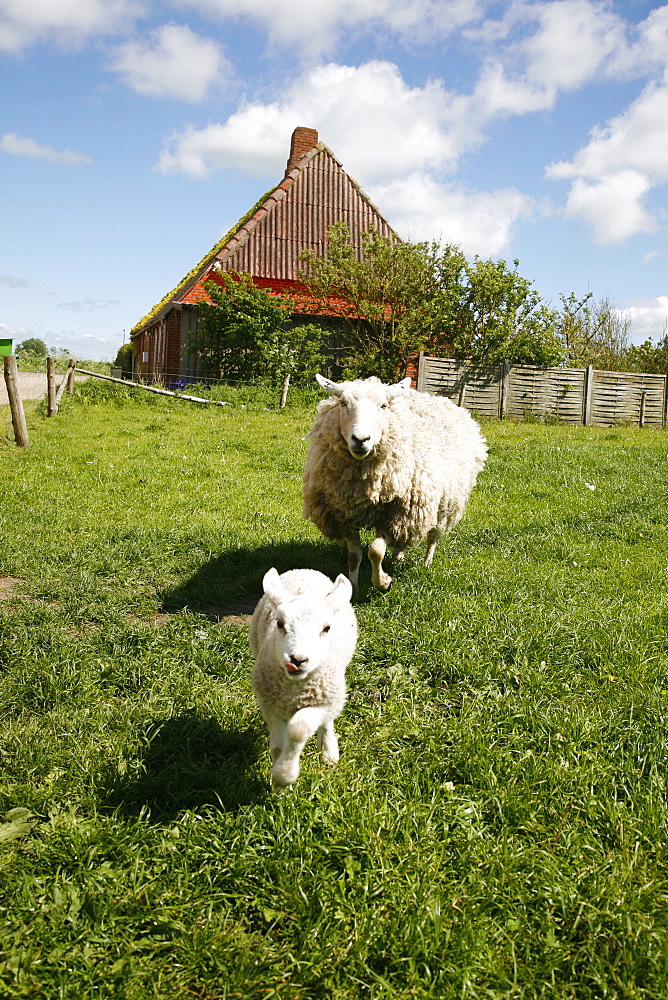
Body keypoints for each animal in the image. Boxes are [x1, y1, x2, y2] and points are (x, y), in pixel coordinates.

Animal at [250, 572, 358, 788]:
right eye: (279, 623)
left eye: (327, 628)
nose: (297, 659)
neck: (295, 690)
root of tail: (305, 570)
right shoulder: (269, 704)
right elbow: (278, 746)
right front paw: (281, 784)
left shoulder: (324, 703)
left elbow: (300, 728)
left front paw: (285, 774)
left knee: (327, 722)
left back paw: (328, 752)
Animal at [302, 376, 486, 592]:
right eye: (343, 403)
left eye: (383, 405)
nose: (361, 440)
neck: (365, 486)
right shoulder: (345, 514)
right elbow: (354, 555)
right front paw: (353, 588)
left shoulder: (395, 512)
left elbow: (375, 551)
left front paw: (383, 582)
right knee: (401, 539)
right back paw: (398, 559)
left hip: (442, 505)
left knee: (433, 535)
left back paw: (426, 563)